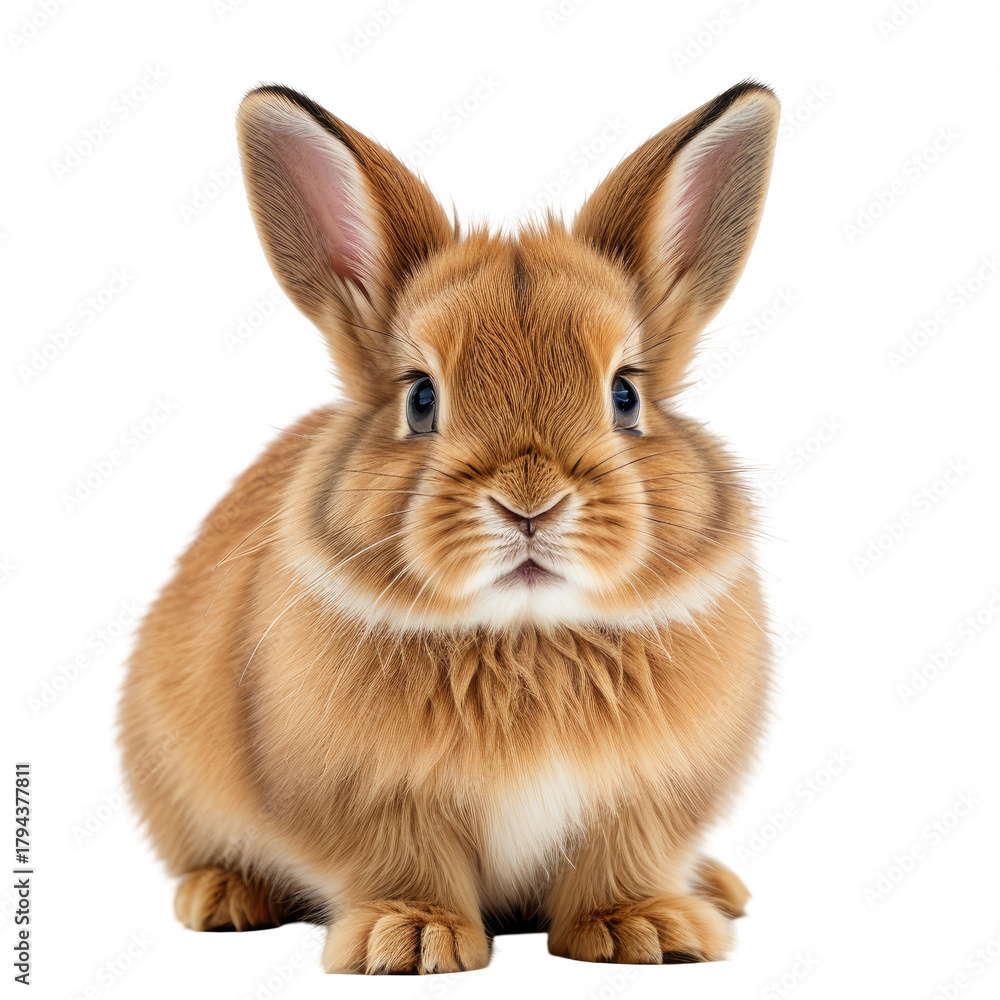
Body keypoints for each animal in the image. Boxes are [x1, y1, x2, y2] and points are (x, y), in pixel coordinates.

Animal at [118, 79, 779, 974]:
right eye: (421, 398)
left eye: (626, 395)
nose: (530, 501)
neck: (526, 634)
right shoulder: (372, 800)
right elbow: (407, 862)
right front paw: (409, 940)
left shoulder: (644, 800)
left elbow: (621, 858)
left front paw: (645, 931)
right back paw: (223, 896)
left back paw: (714, 890)